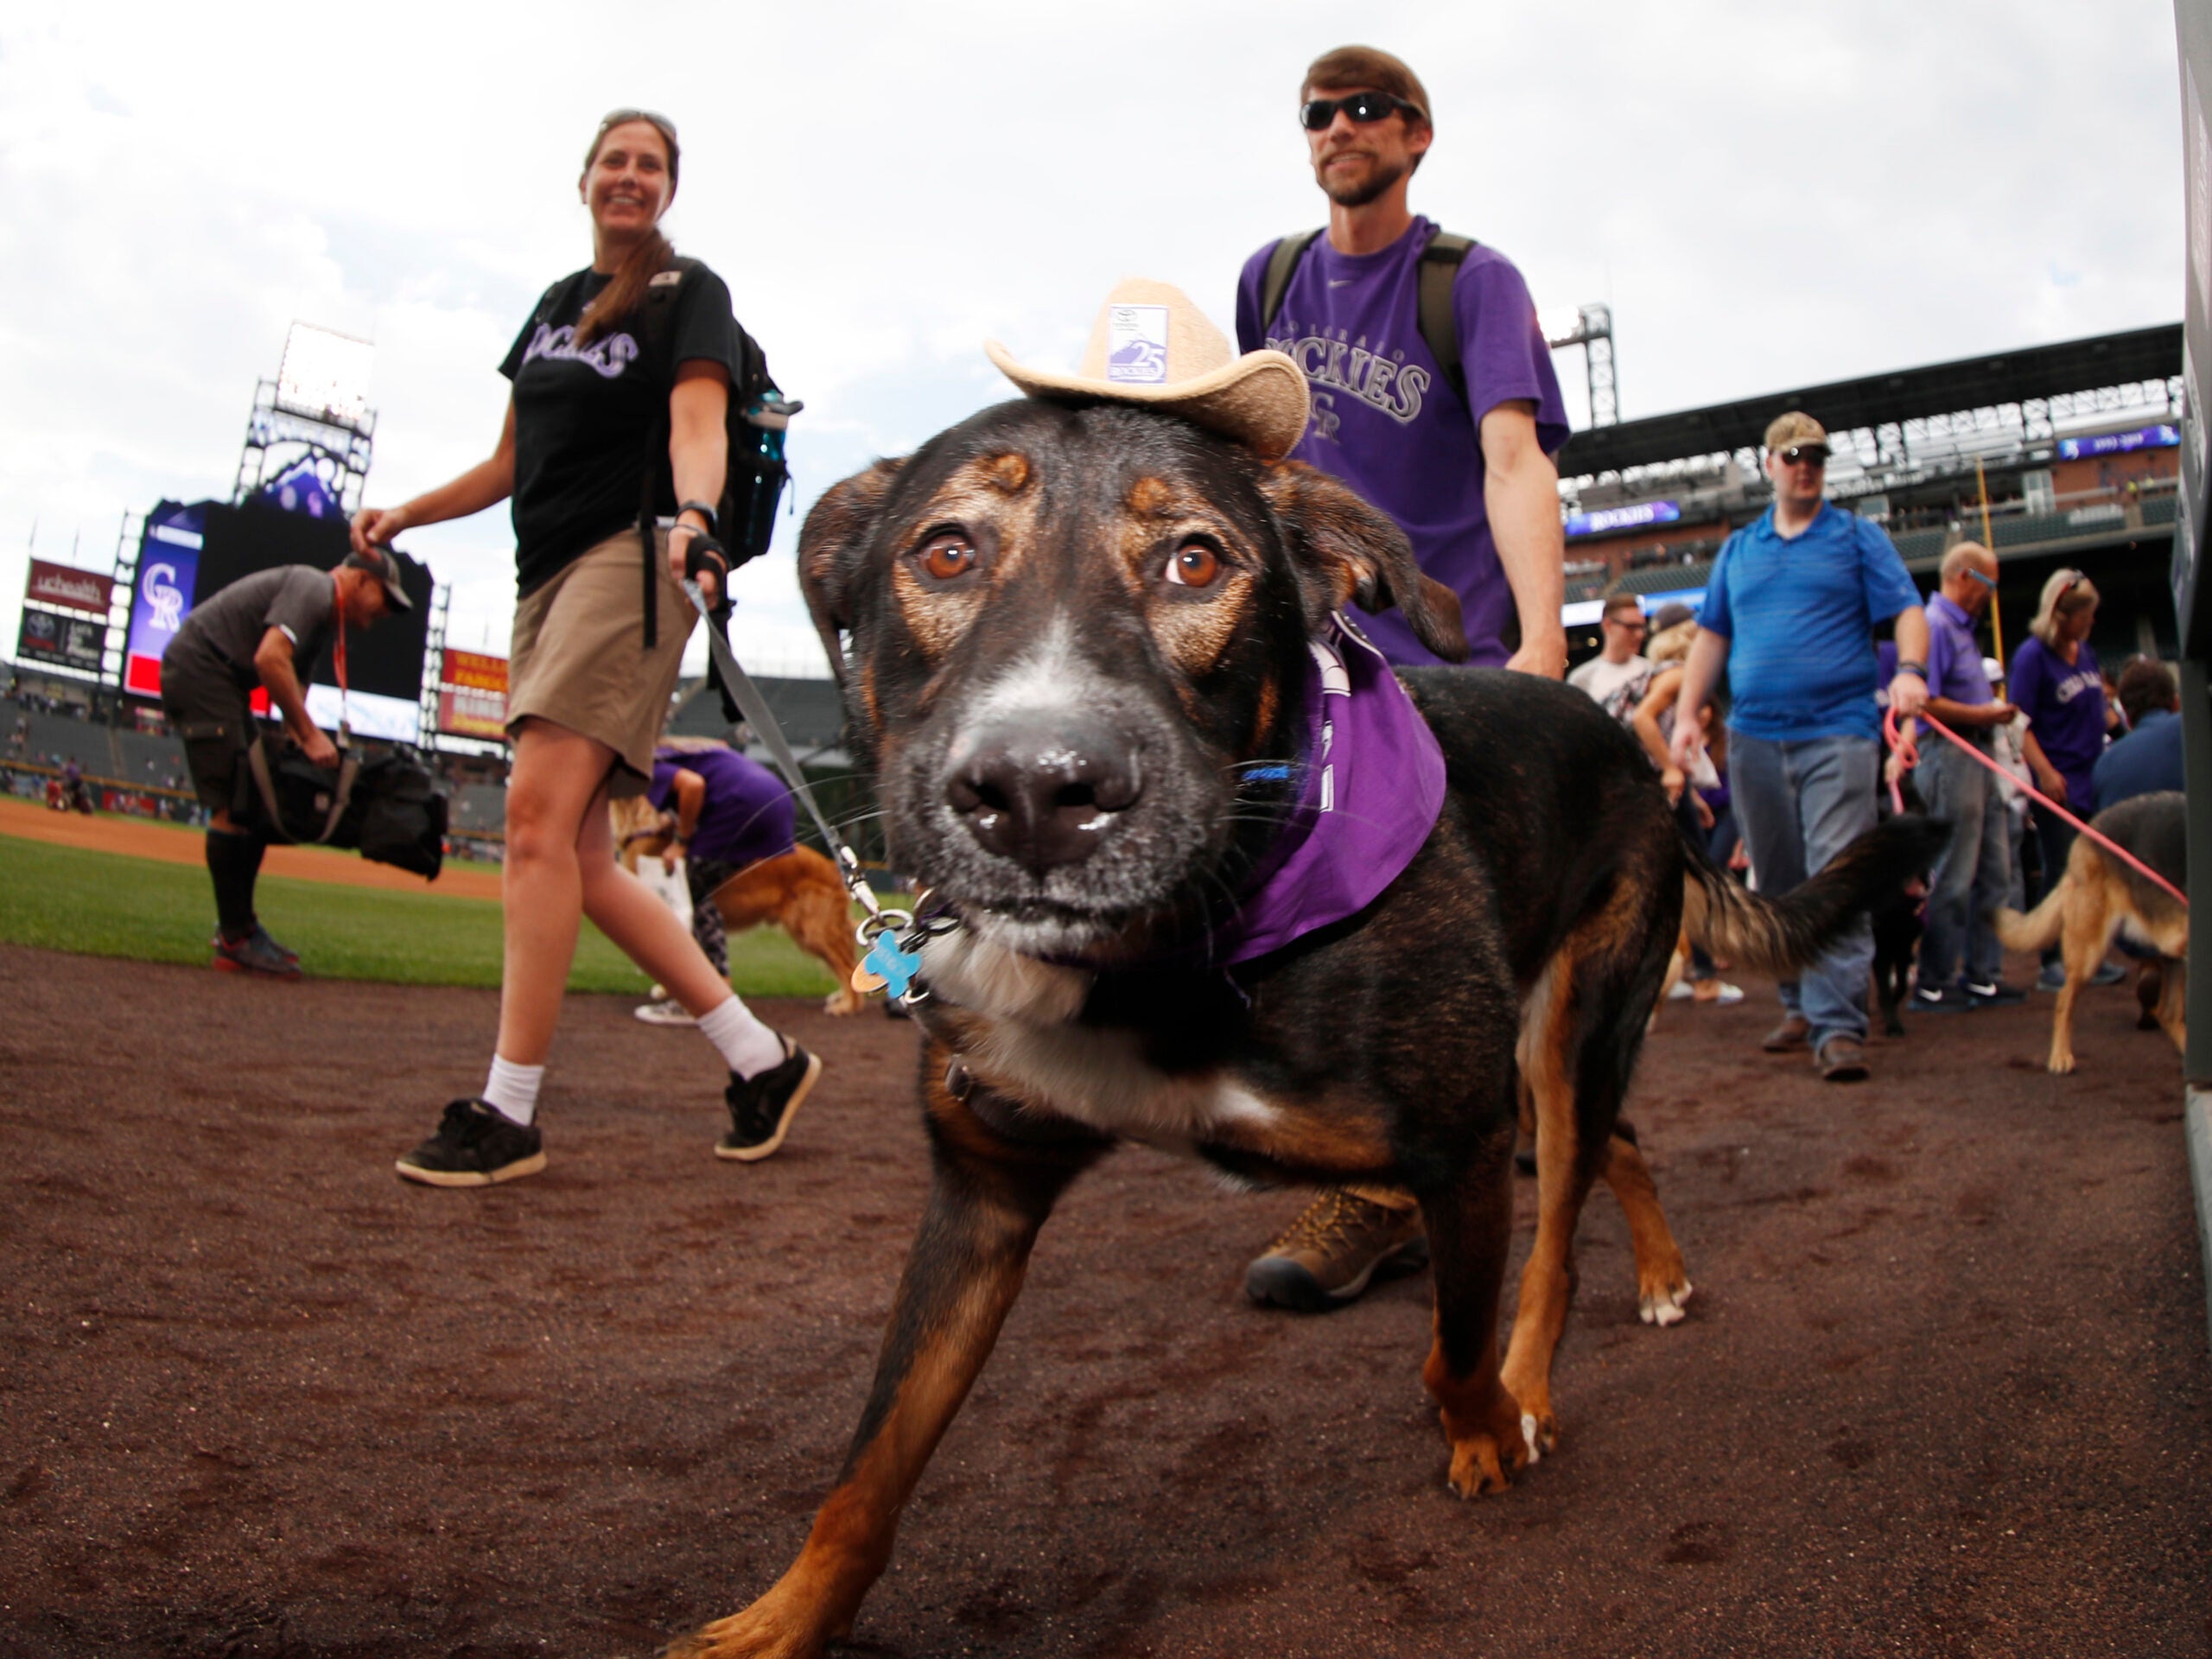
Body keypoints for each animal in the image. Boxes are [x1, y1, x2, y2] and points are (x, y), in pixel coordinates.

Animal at [658, 279, 1937, 1654]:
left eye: (1196, 560)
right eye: (944, 551)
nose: (1038, 793)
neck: (1164, 958)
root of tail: (1643, 763)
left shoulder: (1462, 1145)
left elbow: (1454, 1349)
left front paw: (1486, 1429)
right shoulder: (982, 1186)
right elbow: (869, 1462)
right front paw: (777, 1622)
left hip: (1567, 1030)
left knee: (1563, 1222)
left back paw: (1542, 1379)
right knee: (1618, 1148)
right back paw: (1656, 1274)